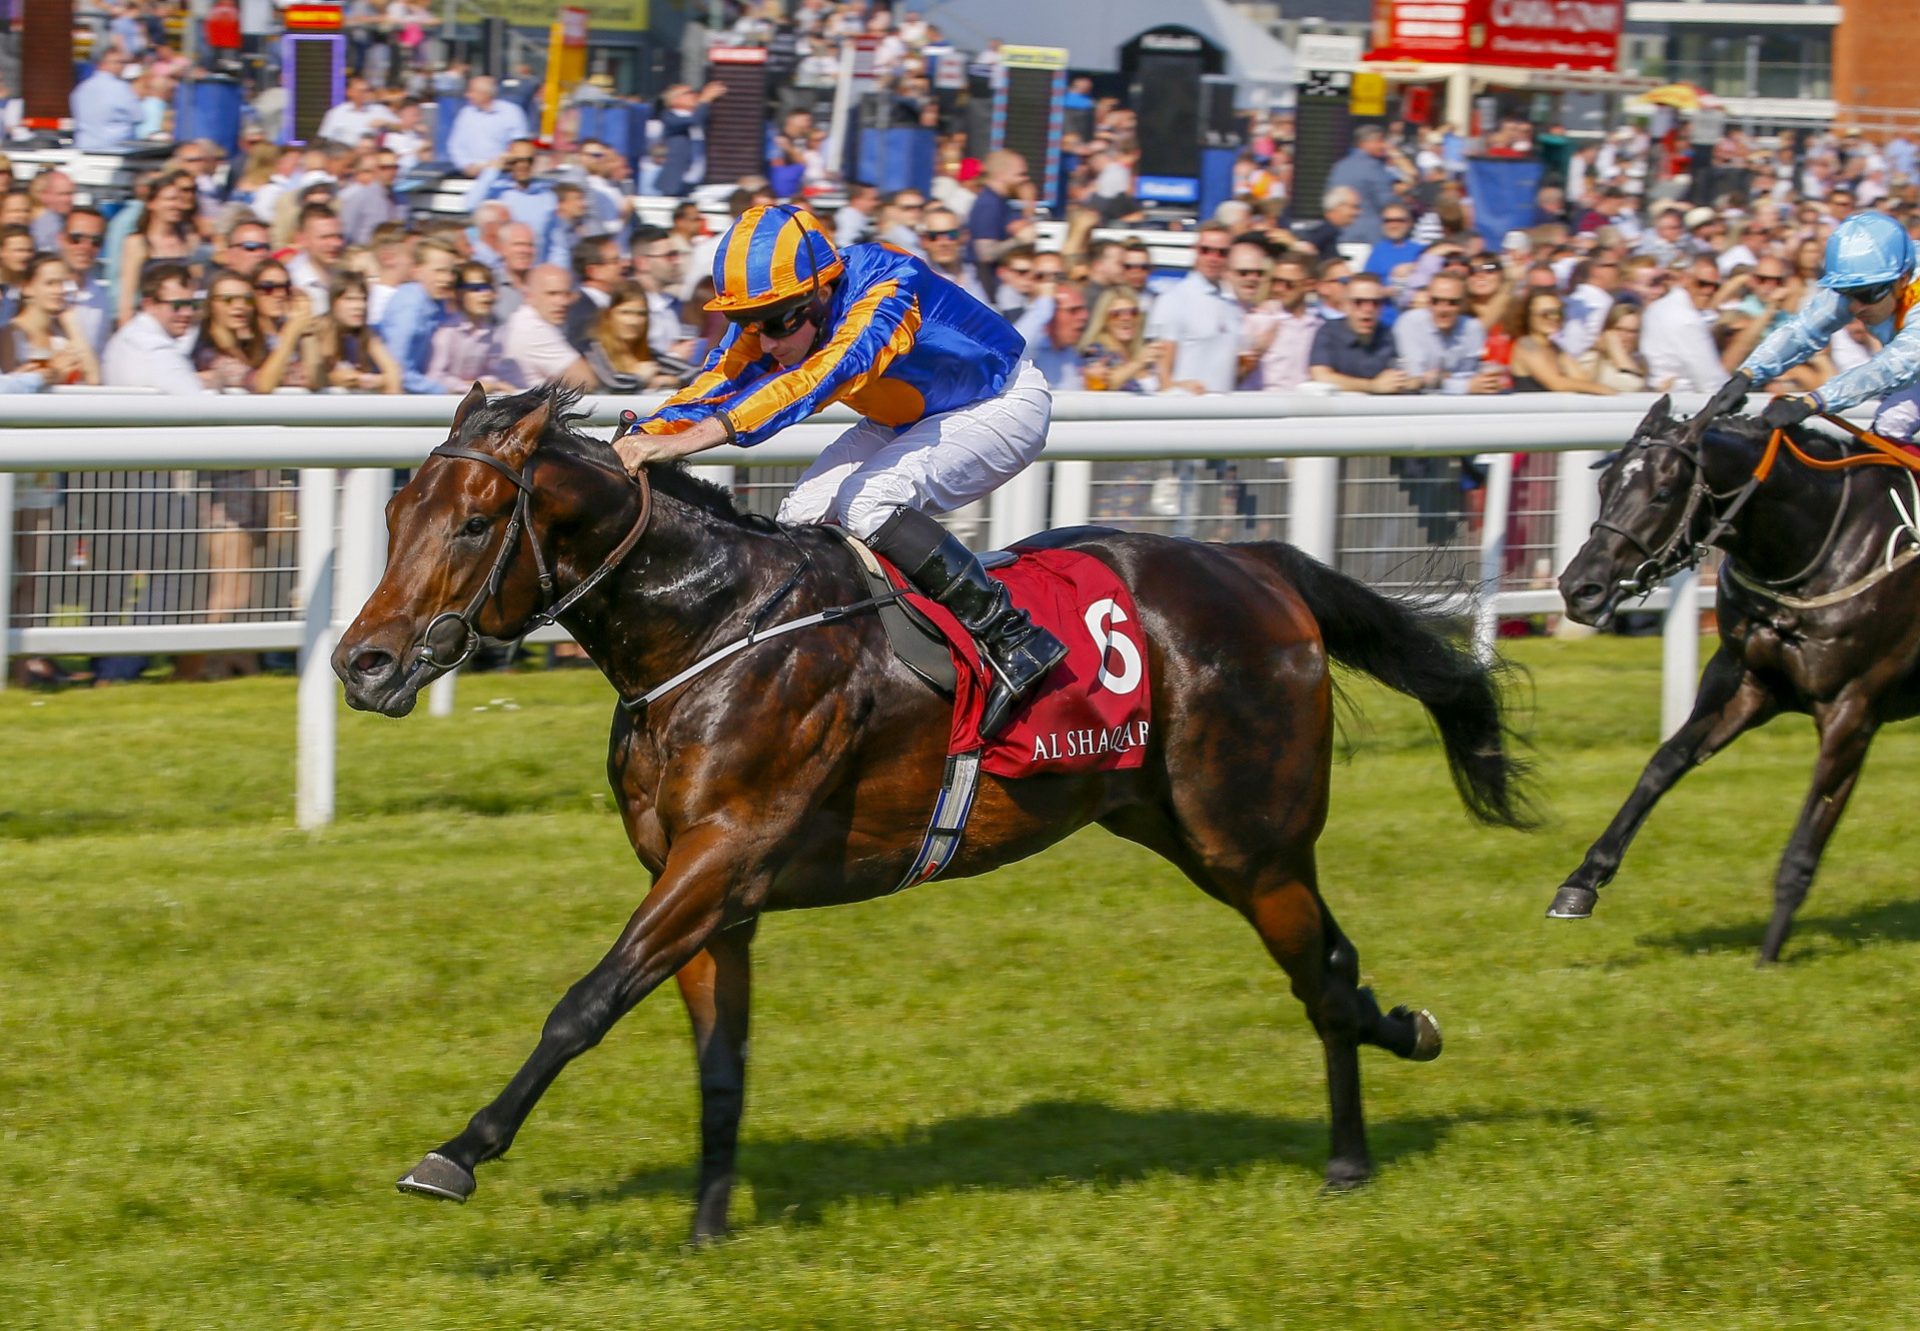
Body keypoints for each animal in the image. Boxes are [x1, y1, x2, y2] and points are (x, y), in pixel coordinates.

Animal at [330, 382, 1528, 1236]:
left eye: (478, 519)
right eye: (394, 508)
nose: (362, 662)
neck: (710, 628)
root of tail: (1261, 567)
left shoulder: (723, 852)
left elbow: (582, 1004)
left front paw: (459, 1151)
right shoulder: (711, 884)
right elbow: (721, 1060)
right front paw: (711, 1230)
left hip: (1250, 838)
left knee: (1319, 975)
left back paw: (1350, 1156)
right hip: (1180, 827)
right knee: (1335, 961)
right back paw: (1402, 1033)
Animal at [1551, 389, 1920, 960]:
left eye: (1662, 493)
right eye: (1605, 484)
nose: (1579, 589)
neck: (1819, 543)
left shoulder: (1853, 708)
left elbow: (1808, 837)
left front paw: (1769, 956)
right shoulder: (1742, 680)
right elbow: (1664, 763)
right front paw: (1581, 883)